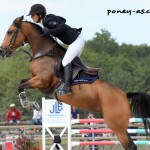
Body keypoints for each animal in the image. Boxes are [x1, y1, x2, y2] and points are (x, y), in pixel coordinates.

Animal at [0, 15, 150, 149]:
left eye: (10, 32)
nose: (2, 51)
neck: (44, 54)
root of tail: (125, 95)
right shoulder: (35, 79)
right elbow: (21, 82)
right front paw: (33, 104)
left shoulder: (41, 82)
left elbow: (20, 85)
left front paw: (27, 102)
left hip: (117, 126)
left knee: (130, 146)